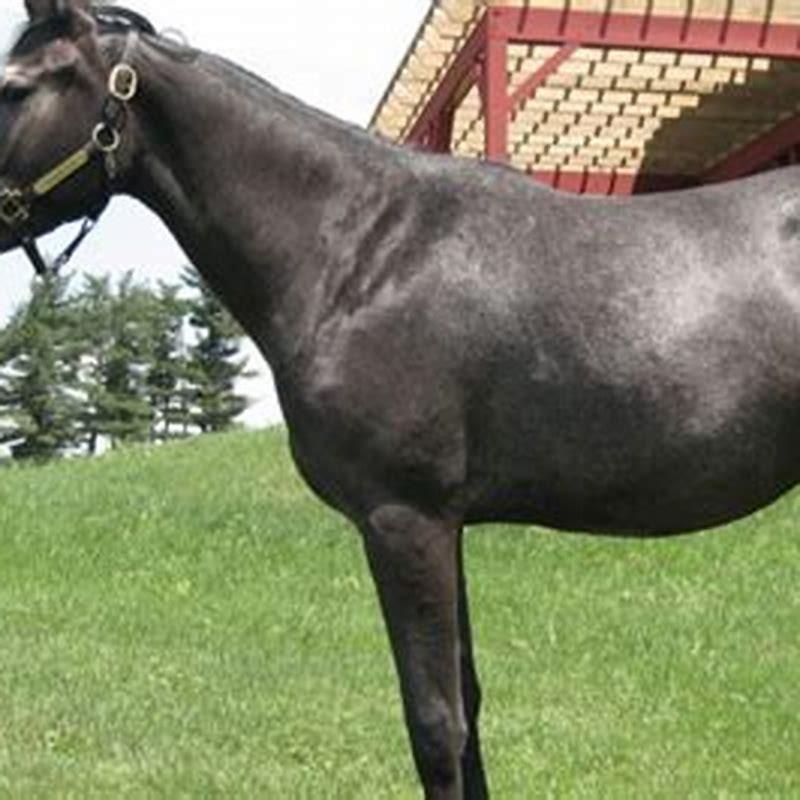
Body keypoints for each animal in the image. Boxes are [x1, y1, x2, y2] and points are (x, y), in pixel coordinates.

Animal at [3, 1, 800, 796]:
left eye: (14, 87)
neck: (361, 258)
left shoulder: (405, 520)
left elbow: (437, 726)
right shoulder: (445, 524)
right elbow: (468, 707)